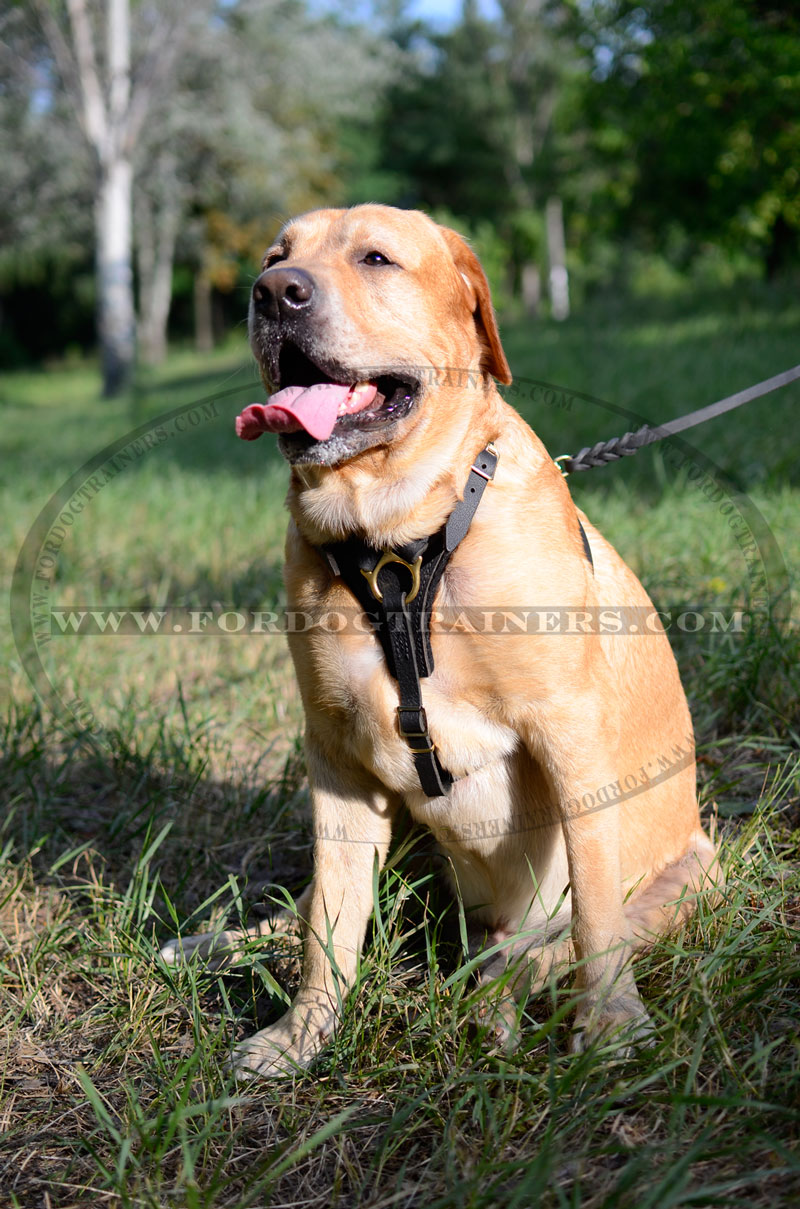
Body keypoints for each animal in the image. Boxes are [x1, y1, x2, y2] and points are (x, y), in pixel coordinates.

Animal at [161, 200, 720, 1078]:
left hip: (688, 873)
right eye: (275, 257)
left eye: (376, 258)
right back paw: (224, 942)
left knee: (544, 947)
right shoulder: (336, 756)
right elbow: (330, 922)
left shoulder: (570, 732)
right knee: (321, 907)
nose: (273, 293)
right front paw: (301, 1033)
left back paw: (491, 1001)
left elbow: (595, 911)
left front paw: (610, 1020)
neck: (396, 544)